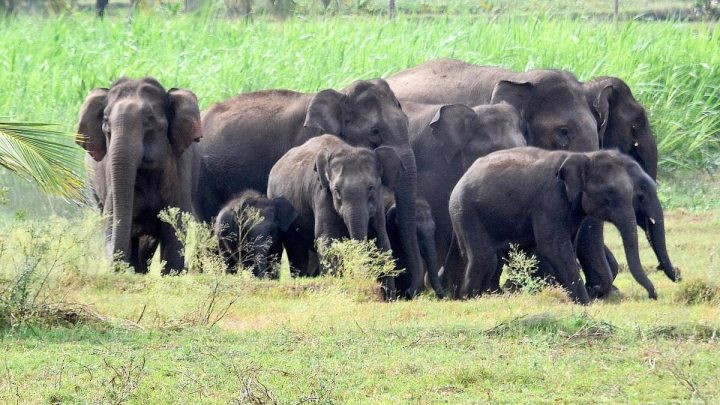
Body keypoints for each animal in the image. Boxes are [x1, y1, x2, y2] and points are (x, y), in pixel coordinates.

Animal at [267, 135, 403, 298]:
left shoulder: (378, 202)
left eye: (371, 188)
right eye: (336, 190)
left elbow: (381, 240)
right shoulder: (322, 194)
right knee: (296, 250)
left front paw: (389, 298)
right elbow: (328, 240)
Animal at [447, 147, 667, 303]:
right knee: (485, 258)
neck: (583, 156)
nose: (653, 296)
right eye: (609, 194)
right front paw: (584, 303)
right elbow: (554, 247)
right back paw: (469, 298)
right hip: (466, 212)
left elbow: (567, 243)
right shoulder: (549, 200)